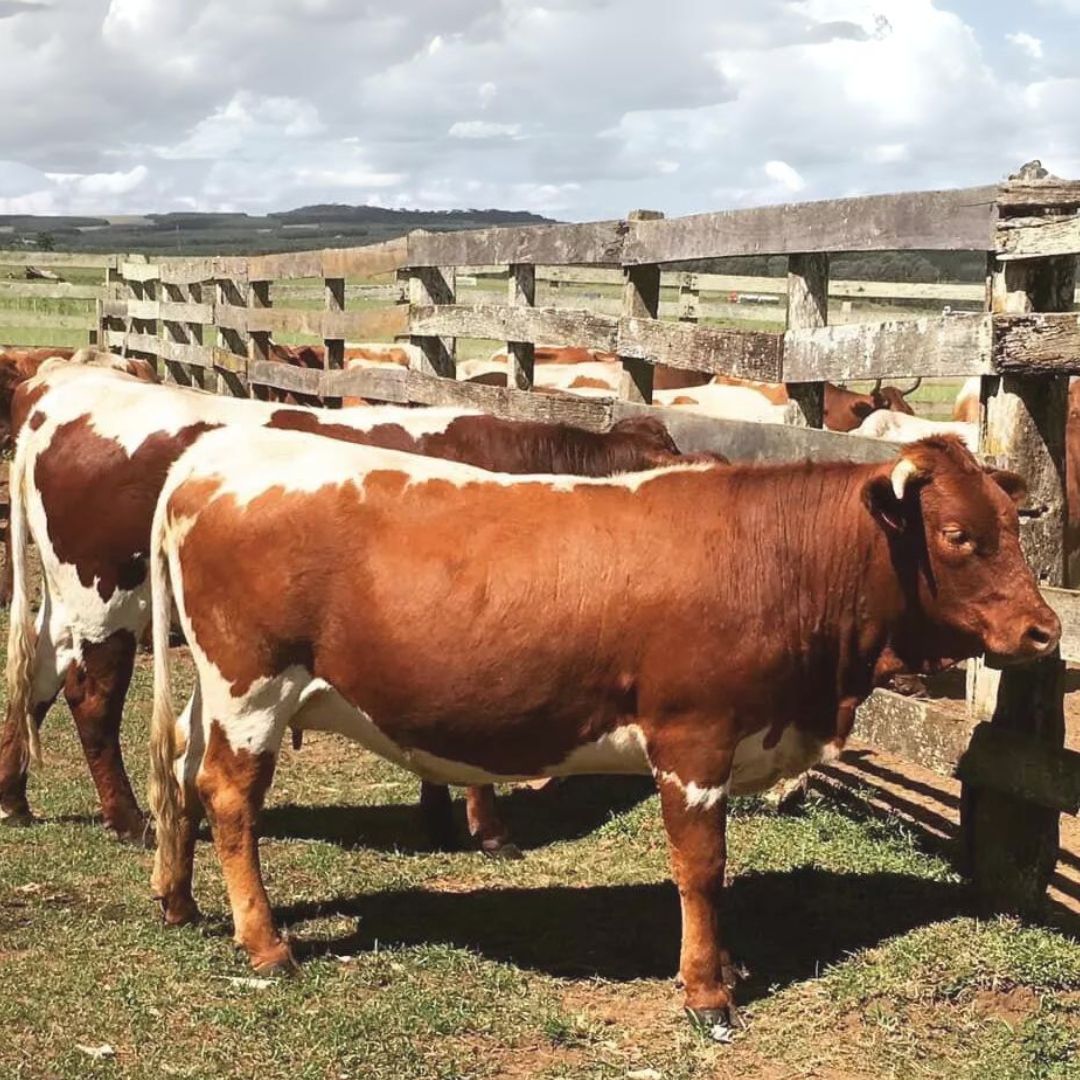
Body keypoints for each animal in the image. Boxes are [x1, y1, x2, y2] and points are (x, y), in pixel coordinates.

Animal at [0, 365, 702, 852]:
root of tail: (61, 392)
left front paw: (438, 816)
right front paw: (488, 829)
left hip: (69, 606)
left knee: (35, 680)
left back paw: (14, 796)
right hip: (105, 602)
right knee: (92, 701)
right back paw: (127, 820)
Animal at [143, 430, 1057, 1030]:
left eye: (1013, 526)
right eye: (958, 535)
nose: (1045, 631)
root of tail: (213, 453)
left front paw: (724, 967)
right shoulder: (693, 739)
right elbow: (701, 870)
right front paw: (707, 992)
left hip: (217, 695)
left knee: (181, 766)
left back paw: (179, 900)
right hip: (252, 688)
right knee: (231, 798)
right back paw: (265, 944)